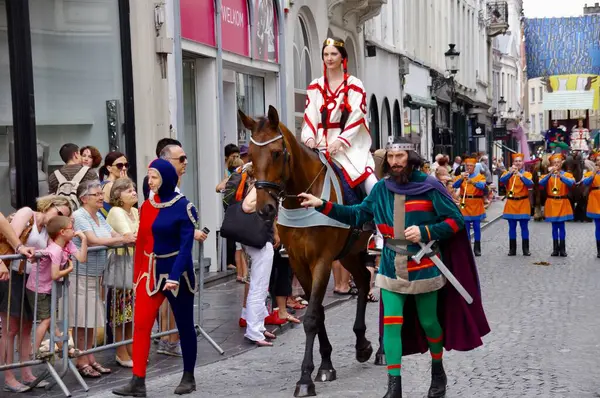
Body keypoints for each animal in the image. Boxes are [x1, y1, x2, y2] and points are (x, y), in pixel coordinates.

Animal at [240, 106, 376, 398]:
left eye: (277, 152)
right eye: (251, 157)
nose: (265, 209)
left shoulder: (322, 261)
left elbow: (312, 316)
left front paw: (305, 378)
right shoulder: (299, 263)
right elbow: (318, 312)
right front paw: (325, 365)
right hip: (349, 253)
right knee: (363, 280)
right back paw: (362, 344)